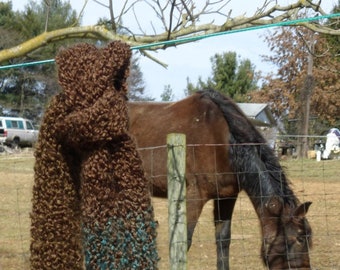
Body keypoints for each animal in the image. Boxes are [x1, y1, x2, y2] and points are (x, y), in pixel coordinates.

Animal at [128, 90, 314, 270]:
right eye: (298, 239)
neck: (222, 143)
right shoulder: (194, 196)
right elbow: (184, 241)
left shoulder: (226, 197)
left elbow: (223, 239)